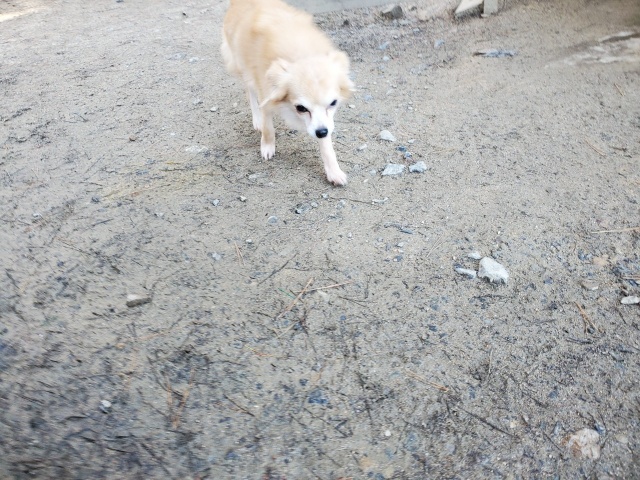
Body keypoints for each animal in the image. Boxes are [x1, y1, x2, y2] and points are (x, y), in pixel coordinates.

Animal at [221, 0, 354, 186]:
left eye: (333, 103)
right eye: (301, 108)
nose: (321, 132)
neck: (300, 56)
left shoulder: (324, 122)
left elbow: (327, 146)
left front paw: (333, 171)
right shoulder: (265, 94)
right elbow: (268, 127)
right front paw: (267, 146)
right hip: (242, 66)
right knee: (249, 92)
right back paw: (256, 119)